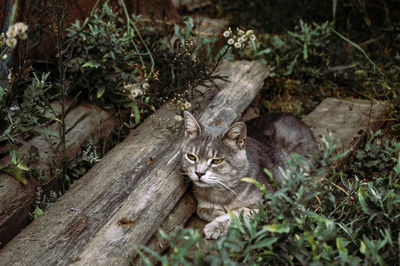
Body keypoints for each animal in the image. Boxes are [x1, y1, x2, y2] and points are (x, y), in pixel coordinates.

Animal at [182, 110, 318, 239]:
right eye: (191, 157)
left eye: (216, 161)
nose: (199, 173)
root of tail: (294, 117)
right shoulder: (203, 204)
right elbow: (202, 210)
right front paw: (218, 213)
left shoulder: (271, 203)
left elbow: (237, 214)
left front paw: (216, 226)